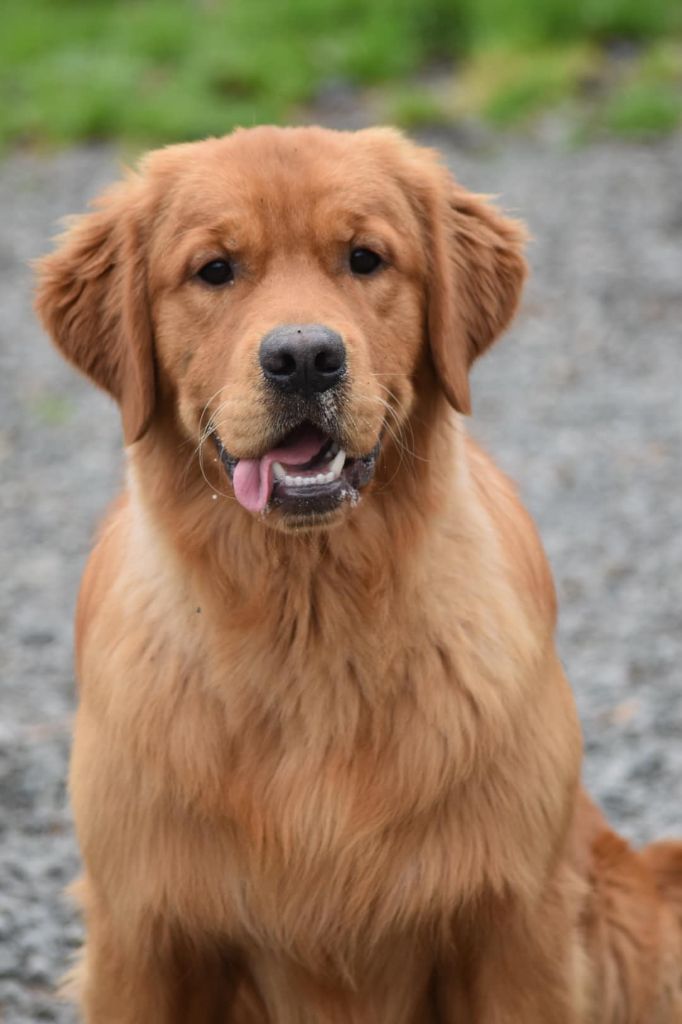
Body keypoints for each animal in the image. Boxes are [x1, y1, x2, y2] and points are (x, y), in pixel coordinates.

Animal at [37, 123, 679, 1019]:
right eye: (215, 269)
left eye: (365, 258)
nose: (305, 357)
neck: (308, 622)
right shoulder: (143, 934)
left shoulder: (515, 924)